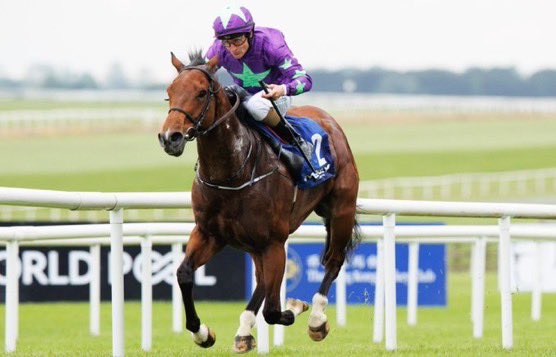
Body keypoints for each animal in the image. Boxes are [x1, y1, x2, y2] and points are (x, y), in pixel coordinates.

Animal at [157, 51, 360, 352]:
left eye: (201, 92)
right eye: (169, 92)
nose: (170, 137)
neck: (232, 173)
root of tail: (328, 120)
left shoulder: (273, 242)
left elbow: (274, 310)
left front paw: (296, 306)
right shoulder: (209, 233)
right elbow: (184, 273)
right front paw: (202, 333)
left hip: (340, 211)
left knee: (333, 260)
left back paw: (316, 318)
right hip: (253, 243)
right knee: (263, 281)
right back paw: (244, 331)